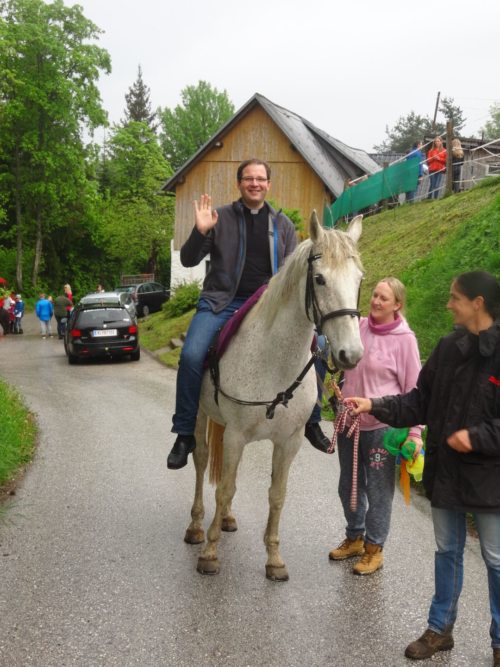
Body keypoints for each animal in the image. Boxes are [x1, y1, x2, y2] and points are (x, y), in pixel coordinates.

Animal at [184, 213, 364, 580]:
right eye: (320, 279)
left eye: (359, 280)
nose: (350, 354)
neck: (275, 359)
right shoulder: (236, 436)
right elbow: (224, 489)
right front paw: (210, 552)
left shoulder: (288, 442)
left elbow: (277, 495)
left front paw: (274, 558)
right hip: (200, 415)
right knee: (201, 459)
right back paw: (197, 526)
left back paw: (226, 520)